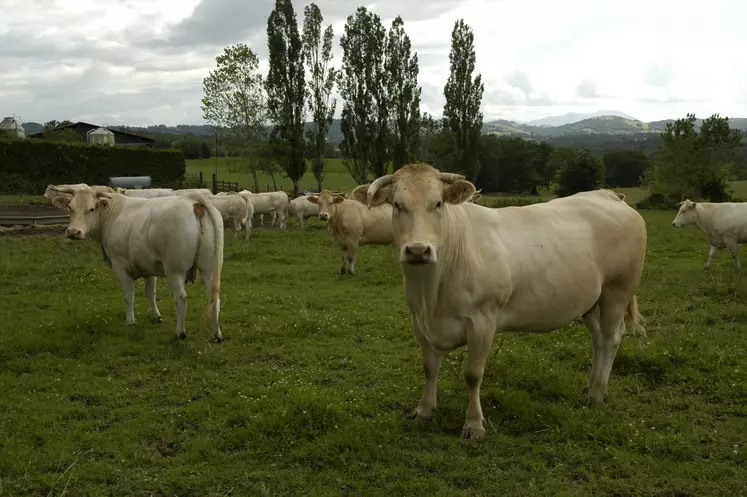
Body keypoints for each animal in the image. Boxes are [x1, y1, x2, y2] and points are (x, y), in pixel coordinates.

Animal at [47, 184, 225, 340]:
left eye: (91, 209)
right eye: (70, 208)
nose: (73, 232)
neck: (112, 214)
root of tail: (192, 199)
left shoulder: (120, 267)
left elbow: (128, 296)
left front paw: (130, 321)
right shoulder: (149, 266)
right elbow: (150, 293)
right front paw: (156, 317)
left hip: (175, 270)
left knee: (181, 298)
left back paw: (180, 333)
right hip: (210, 268)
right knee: (214, 297)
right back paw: (216, 335)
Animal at [366, 163, 644, 438]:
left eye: (438, 203)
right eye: (397, 205)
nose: (417, 250)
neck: (431, 295)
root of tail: (607, 195)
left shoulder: (482, 320)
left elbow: (472, 374)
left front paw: (474, 425)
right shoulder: (419, 321)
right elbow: (429, 368)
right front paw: (423, 410)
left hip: (617, 290)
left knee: (611, 338)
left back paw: (597, 393)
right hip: (591, 300)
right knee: (598, 339)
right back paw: (592, 386)